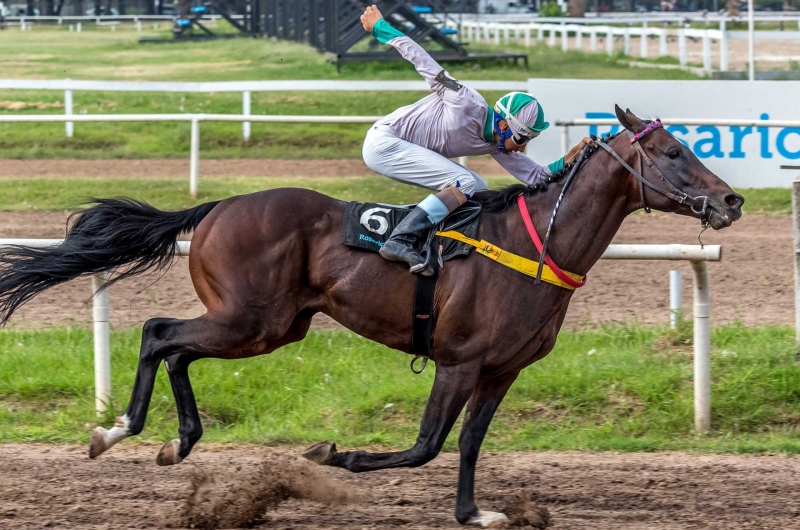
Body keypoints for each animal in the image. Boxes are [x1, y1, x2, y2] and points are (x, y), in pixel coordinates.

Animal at [0, 107, 744, 524]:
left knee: (177, 347)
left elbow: (467, 445)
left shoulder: (501, 370)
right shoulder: (459, 360)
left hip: (269, 327)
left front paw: (475, 513)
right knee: (159, 333)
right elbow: (426, 445)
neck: (537, 244)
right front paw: (334, 454)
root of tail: (216, 207)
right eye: (674, 152)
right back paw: (117, 430)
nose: (732, 201)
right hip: (251, 319)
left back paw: (175, 441)